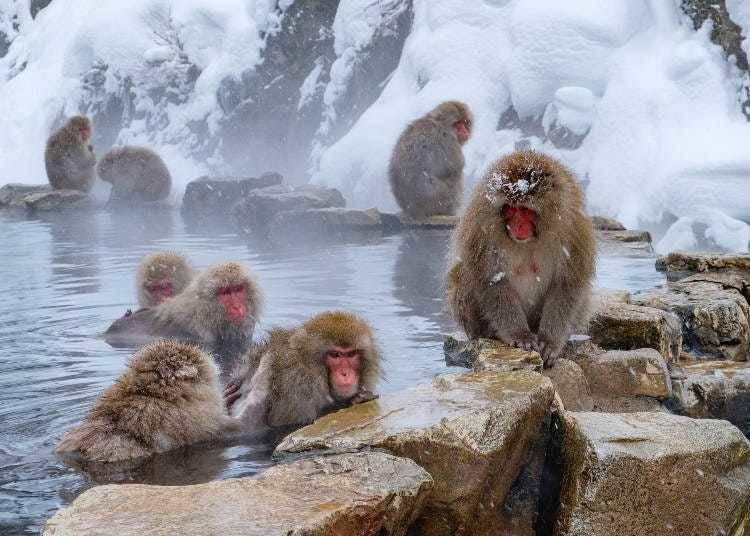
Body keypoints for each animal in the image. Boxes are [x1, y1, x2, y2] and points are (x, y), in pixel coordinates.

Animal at [447, 150, 595, 368]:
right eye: (510, 208)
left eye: (524, 209)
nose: (516, 226)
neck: (533, 238)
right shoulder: (481, 227)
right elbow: (491, 281)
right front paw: (520, 335)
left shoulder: (574, 228)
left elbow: (567, 285)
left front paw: (550, 342)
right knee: (463, 275)